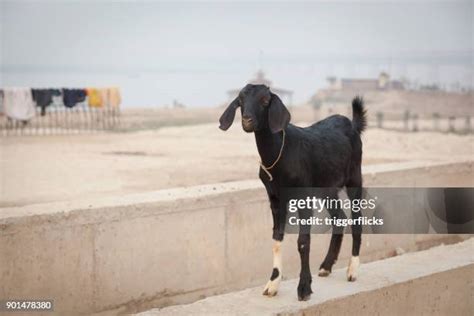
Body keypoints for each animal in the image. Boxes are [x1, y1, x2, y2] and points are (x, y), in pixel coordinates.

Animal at [218, 84, 366, 302]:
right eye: (241, 100)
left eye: (265, 100)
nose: (247, 120)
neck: (280, 153)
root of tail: (352, 125)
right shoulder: (275, 199)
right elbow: (276, 239)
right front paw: (272, 284)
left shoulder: (303, 196)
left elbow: (303, 241)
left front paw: (304, 288)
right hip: (327, 188)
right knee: (339, 218)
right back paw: (326, 266)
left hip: (354, 177)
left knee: (357, 219)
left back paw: (352, 270)